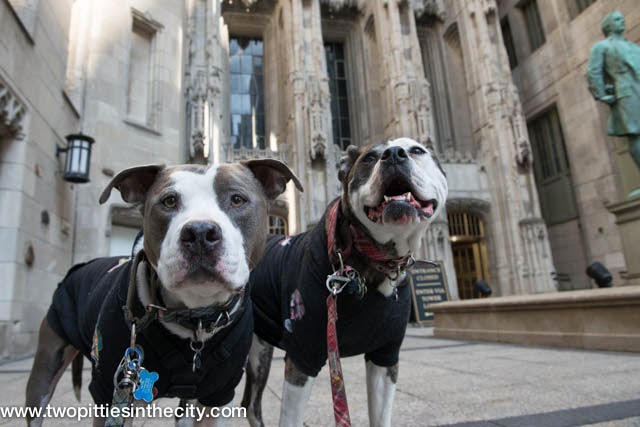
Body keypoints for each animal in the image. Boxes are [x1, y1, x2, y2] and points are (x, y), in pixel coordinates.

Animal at [25, 159, 302, 426]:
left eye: (237, 199)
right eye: (169, 201)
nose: (200, 232)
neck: (194, 318)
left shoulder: (218, 397)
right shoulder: (112, 392)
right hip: (46, 365)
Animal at [241, 138, 448, 427]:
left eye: (417, 150)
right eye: (369, 158)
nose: (394, 154)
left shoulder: (385, 359)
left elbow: (380, 417)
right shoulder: (302, 358)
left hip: (259, 351)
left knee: (250, 404)